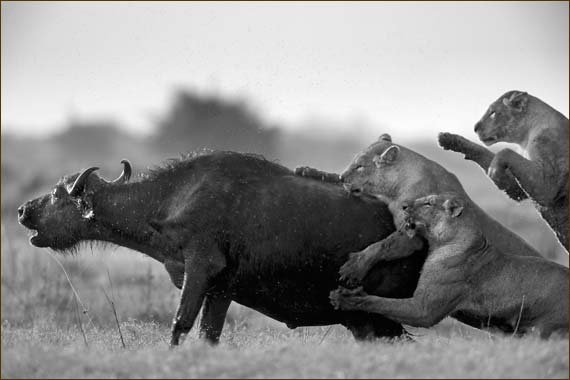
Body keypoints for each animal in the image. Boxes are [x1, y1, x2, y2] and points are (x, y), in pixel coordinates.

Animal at [17, 151, 426, 344]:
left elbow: (179, 325)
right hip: (363, 321)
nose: (22, 210)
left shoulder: (200, 269)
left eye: (57, 193)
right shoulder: (220, 291)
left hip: (377, 316)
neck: (171, 200)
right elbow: (207, 335)